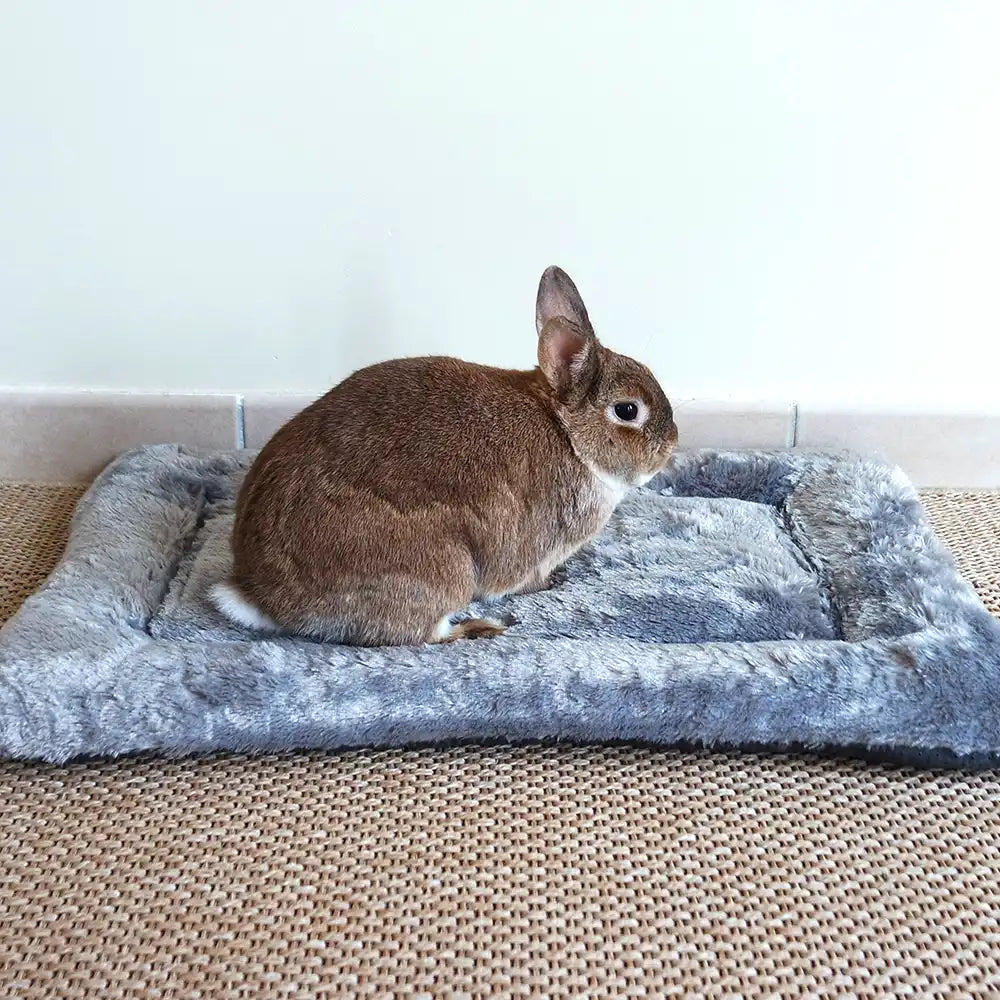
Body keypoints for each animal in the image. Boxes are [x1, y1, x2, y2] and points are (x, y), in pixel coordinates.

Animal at [211, 266, 678, 646]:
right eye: (628, 411)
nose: (670, 446)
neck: (567, 433)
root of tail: (262, 595)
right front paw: (550, 585)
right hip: (445, 569)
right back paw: (479, 628)